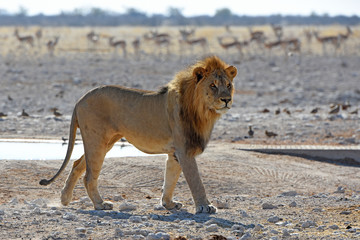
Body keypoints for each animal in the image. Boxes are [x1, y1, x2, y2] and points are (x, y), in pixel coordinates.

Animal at [40, 55, 236, 213]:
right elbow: (196, 181)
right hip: (97, 140)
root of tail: (80, 99)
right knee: (88, 176)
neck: (203, 112)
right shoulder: (185, 150)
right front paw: (205, 206)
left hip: (104, 142)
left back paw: (65, 199)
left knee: (77, 165)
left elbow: (170, 179)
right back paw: (100, 204)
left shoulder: (175, 153)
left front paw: (168, 204)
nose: (227, 100)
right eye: (213, 85)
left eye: (228, 85)